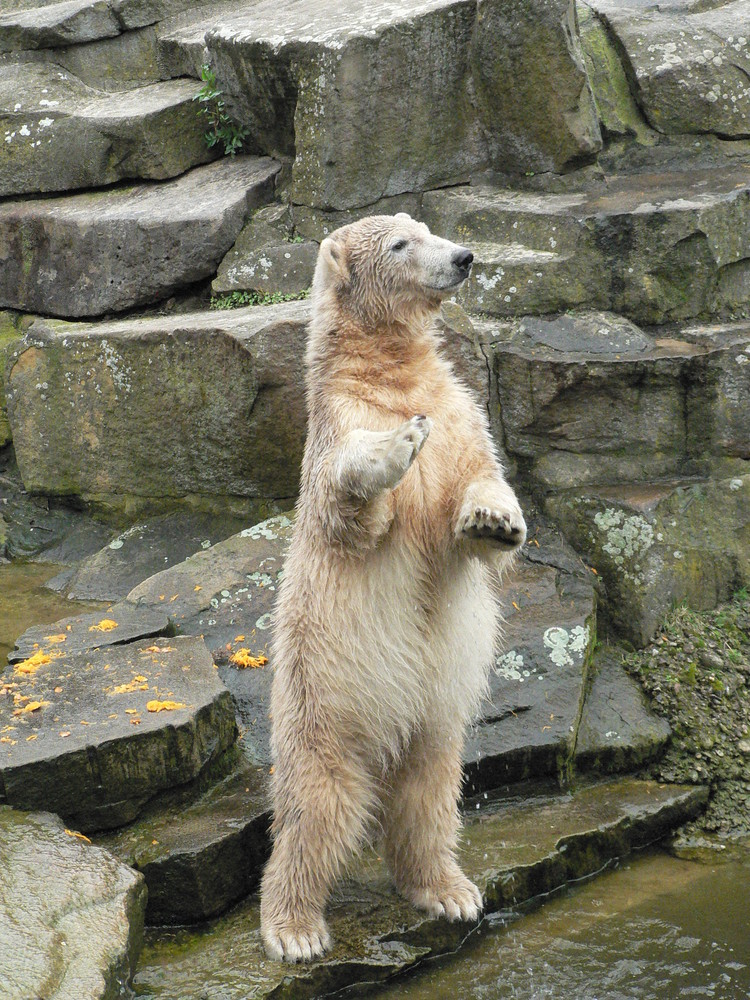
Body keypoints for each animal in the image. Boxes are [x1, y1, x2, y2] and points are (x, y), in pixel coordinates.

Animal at [262, 213, 524, 960]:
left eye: (428, 228)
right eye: (403, 244)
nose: (464, 257)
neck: (391, 373)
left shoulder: (461, 410)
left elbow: (480, 481)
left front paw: (495, 519)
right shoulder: (337, 425)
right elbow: (350, 510)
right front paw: (395, 447)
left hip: (433, 720)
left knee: (428, 796)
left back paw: (448, 889)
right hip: (322, 708)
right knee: (318, 812)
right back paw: (294, 928)